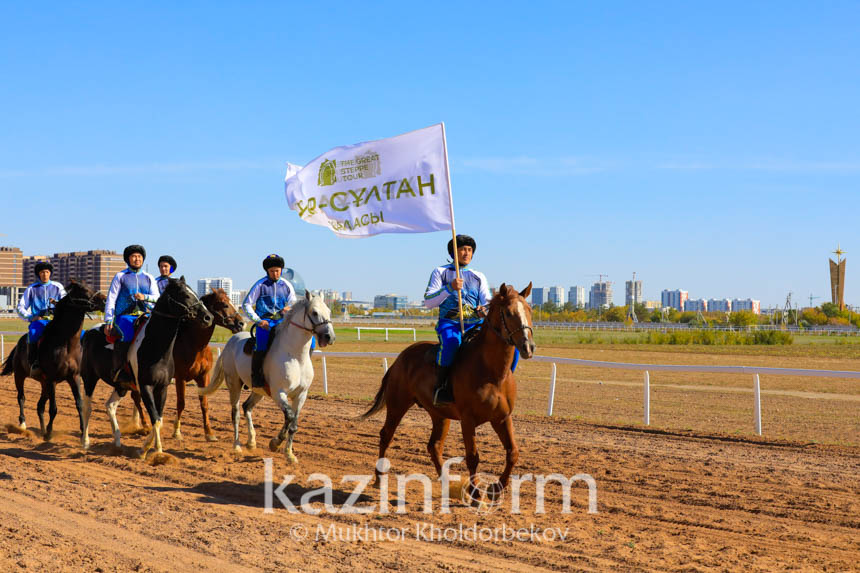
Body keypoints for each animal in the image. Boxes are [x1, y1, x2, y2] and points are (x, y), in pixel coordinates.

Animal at [1, 280, 105, 444]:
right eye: (84, 290)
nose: (105, 299)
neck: (66, 344)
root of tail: (19, 343)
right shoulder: (52, 379)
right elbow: (54, 408)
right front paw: (49, 433)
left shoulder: (74, 377)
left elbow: (79, 404)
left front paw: (83, 434)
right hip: (20, 376)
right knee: (21, 398)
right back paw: (23, 424)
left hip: (43, 384)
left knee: (39, 406)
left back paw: (42, 430)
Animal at [200, 292, 334, 462]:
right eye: (315, 312)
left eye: (329, 311)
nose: (329, 336)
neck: (296, 356)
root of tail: (231, 341)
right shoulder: (279, 393)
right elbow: (289, 416)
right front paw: (275, 443)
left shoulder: (301, 395)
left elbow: (294, 424)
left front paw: (289, 454)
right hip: (234, 385)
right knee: (235, 413)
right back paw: (237, 446)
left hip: (258, 391)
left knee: (247, 407)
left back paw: (251, 442)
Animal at [360, 280, 536, 500]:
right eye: (509, 313)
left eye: (529, 310)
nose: (528, 346)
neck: (492, 374)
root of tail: (400, 359)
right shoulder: (468, 419)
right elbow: (472, 456)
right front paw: (475, 492)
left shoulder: (502, 418)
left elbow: (513, 452)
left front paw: (496, 489)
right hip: (397, 405)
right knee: (386, 435)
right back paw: (379, 478)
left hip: (439, 415)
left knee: (433, 446)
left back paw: (446, 482)